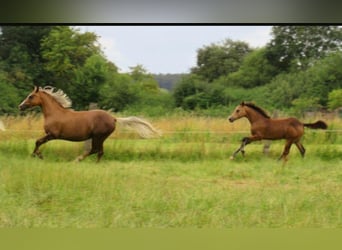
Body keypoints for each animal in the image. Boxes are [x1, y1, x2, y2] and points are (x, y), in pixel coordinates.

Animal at [17, 86, 159, 162]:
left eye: (30, 96)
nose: (20, 106)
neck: (54, 113)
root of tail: (113, 118)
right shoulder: (50, 135)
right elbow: (38, 141)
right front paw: (37, 155)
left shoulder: (53, 135)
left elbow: (38, 141)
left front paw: (37, 155)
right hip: (100, 138)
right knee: (99, 151)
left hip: (98, 136)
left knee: (95, 150)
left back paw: (77, 160)